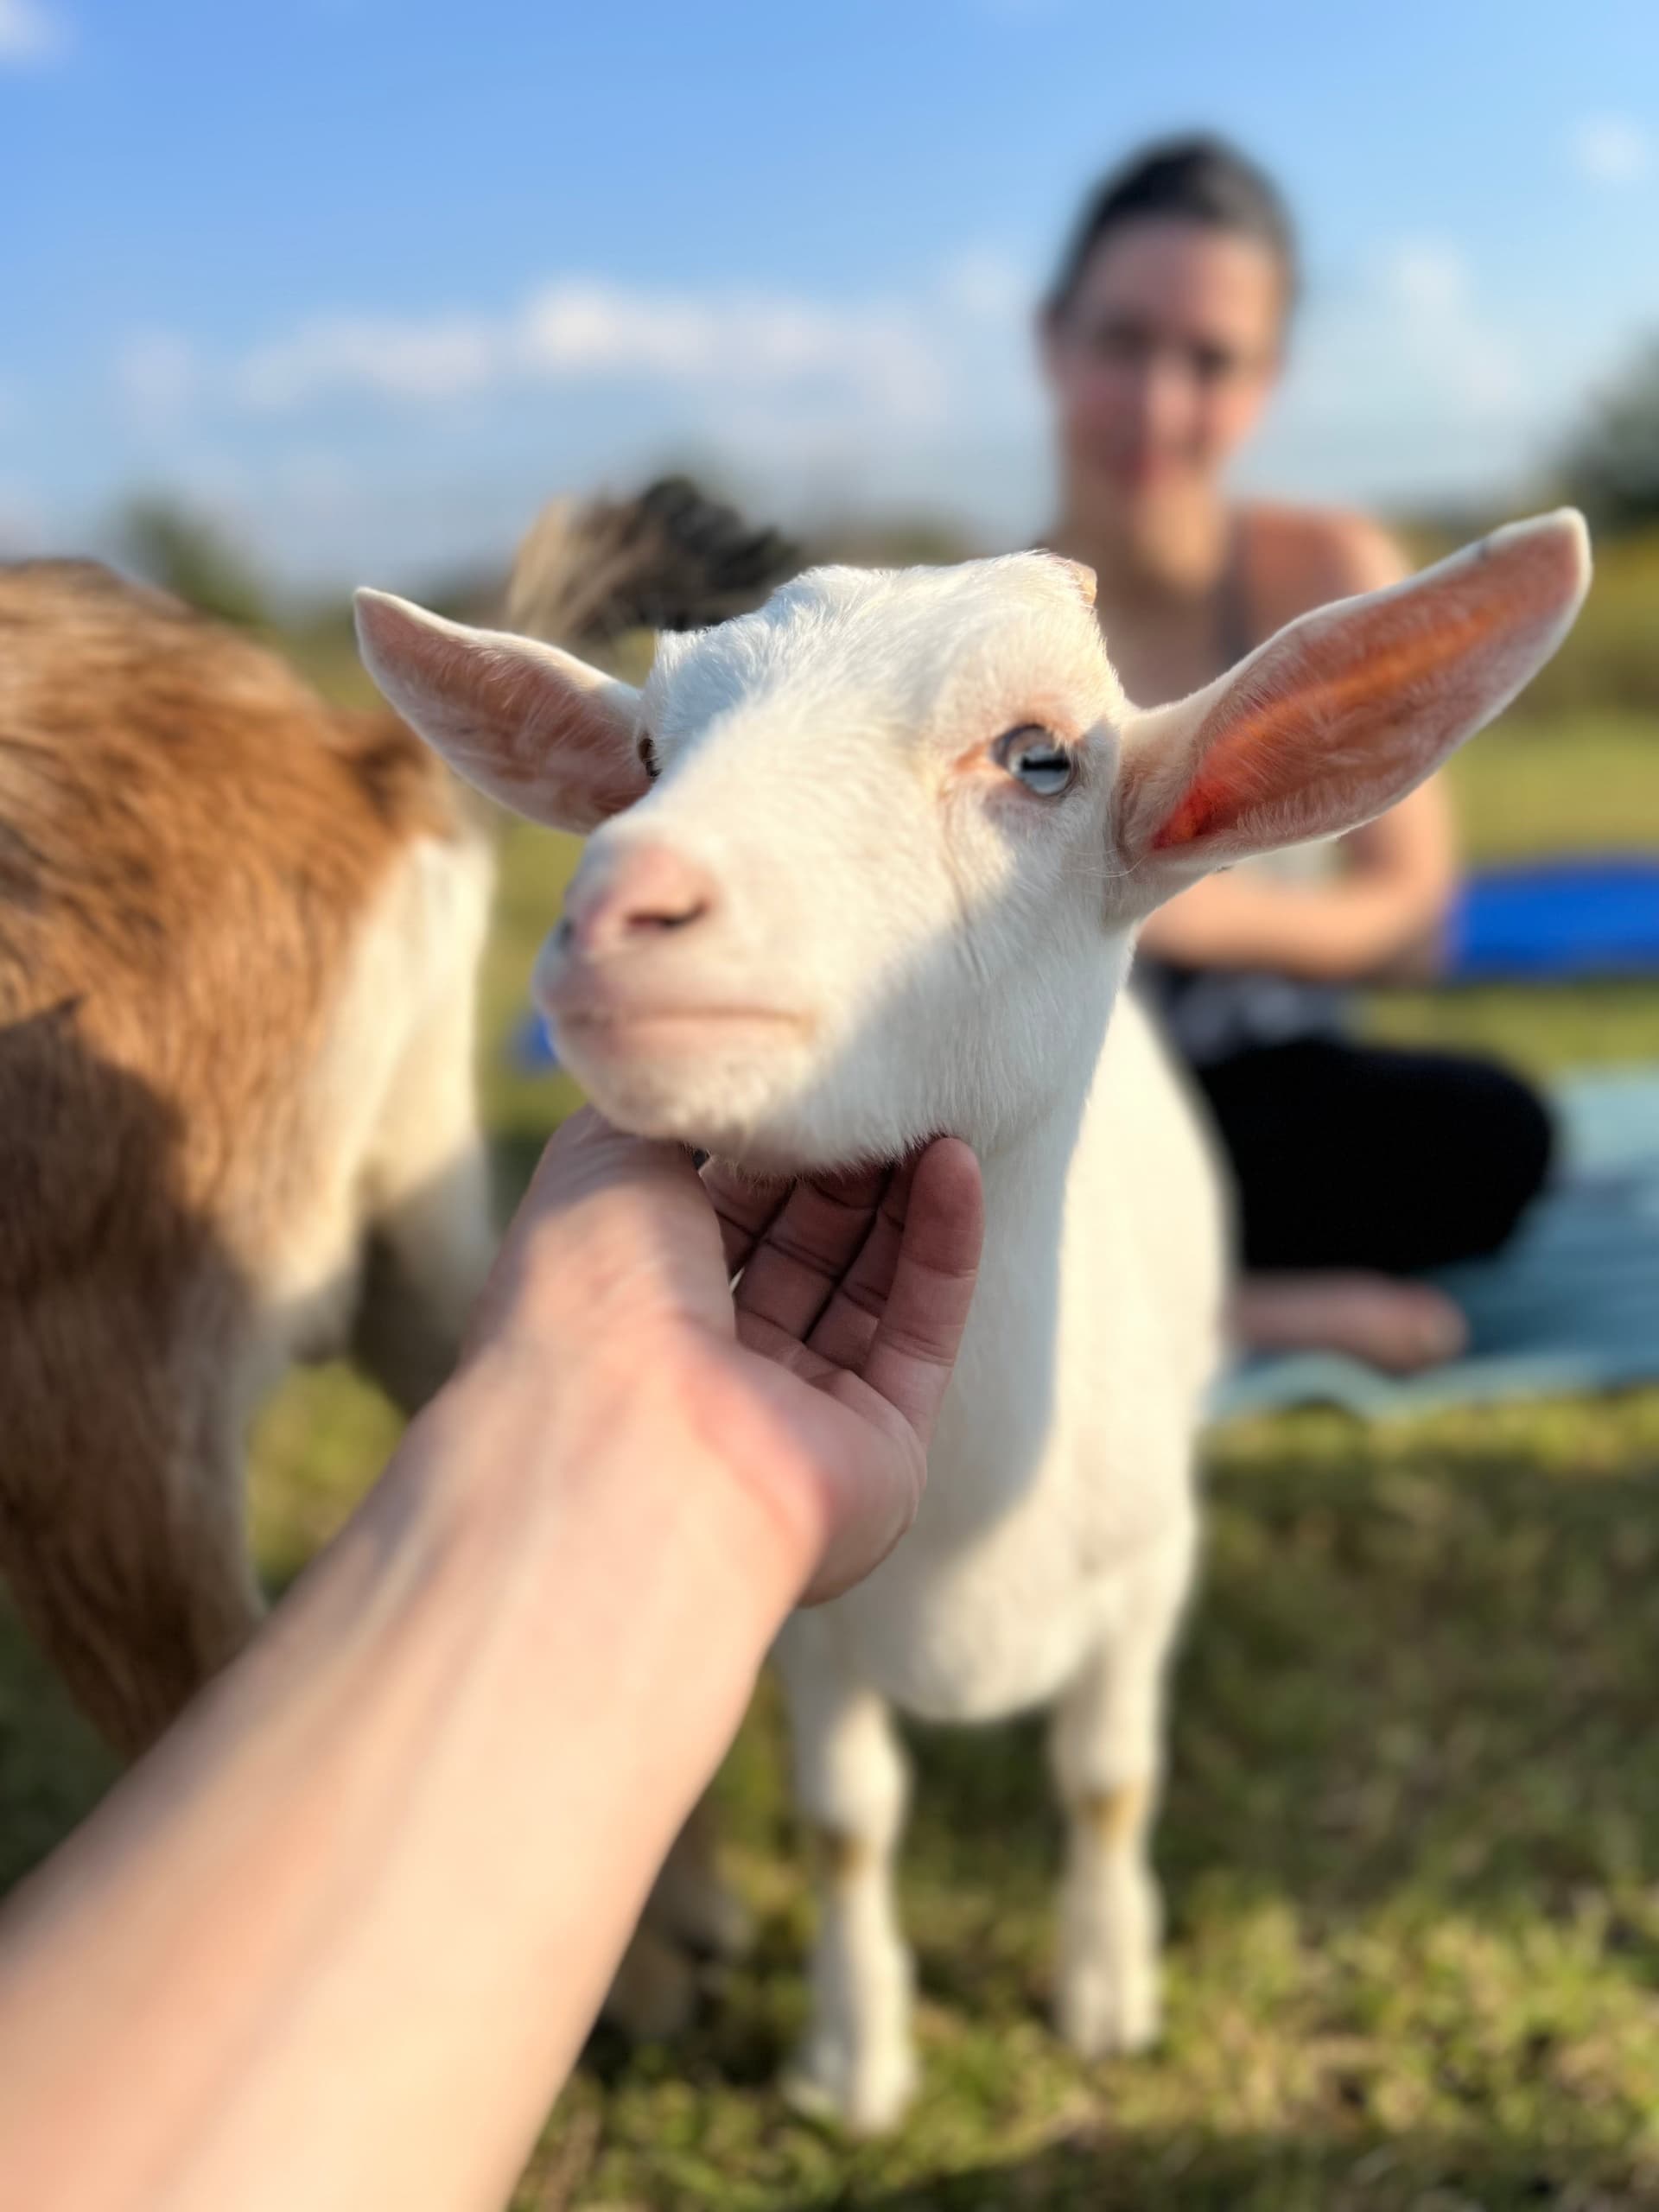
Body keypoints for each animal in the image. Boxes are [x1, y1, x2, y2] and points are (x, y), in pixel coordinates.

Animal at [356, 511, 1591, 2129]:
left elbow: (1109, 1779)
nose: (622, 913)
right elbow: (846, 1822)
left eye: (1040, 757)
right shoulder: (809, 1619)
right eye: (644, 750)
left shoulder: (1149, 1569)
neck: (971, 1533)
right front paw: (854, 2061)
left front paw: (1106, 1993)